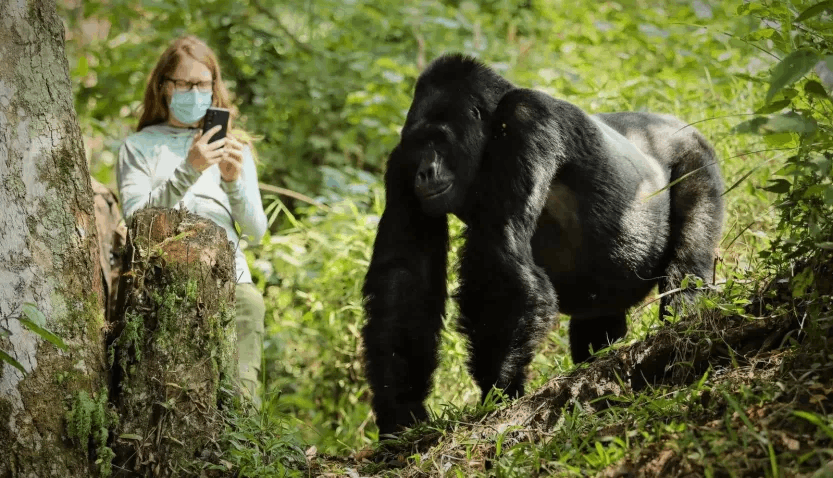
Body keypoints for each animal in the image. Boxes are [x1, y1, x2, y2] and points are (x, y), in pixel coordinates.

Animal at [360, 54, 724, 436]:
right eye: (420, 145)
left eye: (439, 140)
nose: (425, 172)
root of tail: (675, 123)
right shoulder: (401, 161)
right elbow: (404, 278)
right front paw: (400, 408)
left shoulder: (528, 118)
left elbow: (501, 259)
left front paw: (499, 388)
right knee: (596, 326)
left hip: (697, 155)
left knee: (688, 263)